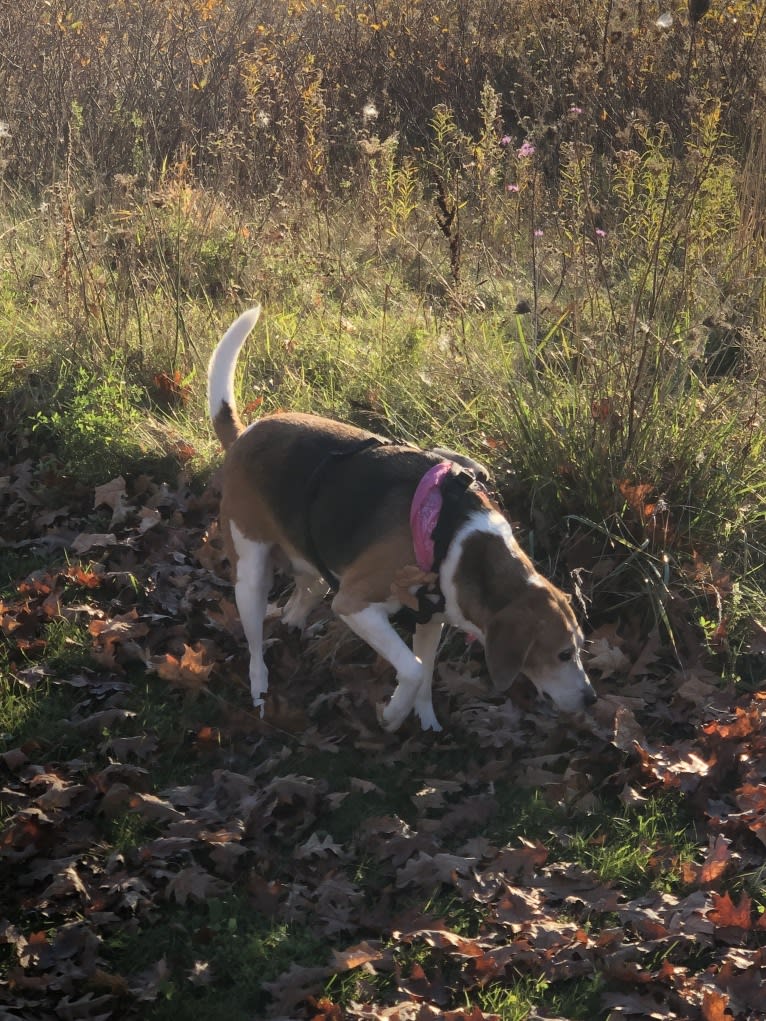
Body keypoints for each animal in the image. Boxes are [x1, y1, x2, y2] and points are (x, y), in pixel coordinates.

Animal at [210, 306, 600, 731]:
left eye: (580, 648)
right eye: (563, 654)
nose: (591, 699)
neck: (456, 539)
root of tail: (245, 433)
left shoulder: (432, 620)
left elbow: (425, 674)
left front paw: (424, 719)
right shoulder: (355, 603)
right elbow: (412, 670)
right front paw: (393, 714)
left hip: (308, 562)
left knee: (303, 597)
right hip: (251, 571)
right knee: (255, 644)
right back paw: (260, 691)